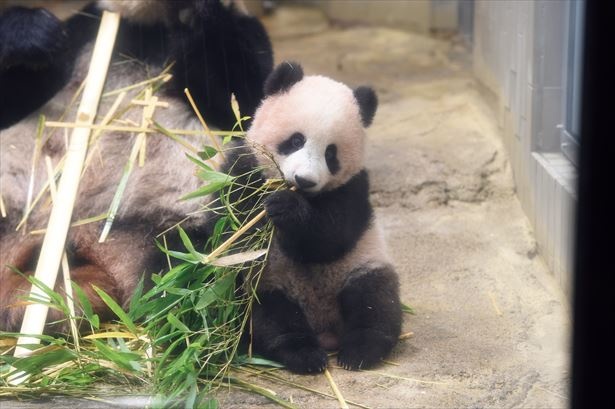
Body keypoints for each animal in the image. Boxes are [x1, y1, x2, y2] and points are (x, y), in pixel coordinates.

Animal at [0, 0, 274, 330]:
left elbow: (244, 98)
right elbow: (16, 98)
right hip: (12, 209)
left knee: (194, 269)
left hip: (167, 227)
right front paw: (30, 34)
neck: (150, 23)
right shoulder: (83, 32)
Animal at [221, 62, 404, 372]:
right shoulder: (243, 169)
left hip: (361, 266)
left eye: (331, 154)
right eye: (296, 140)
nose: (304, 180)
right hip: (268, 284)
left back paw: (360, 351)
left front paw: (287, 209)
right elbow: (236, 227)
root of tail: (324, 328)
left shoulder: (354, 188)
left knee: (375, 300)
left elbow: (329, 239)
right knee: (270, 317)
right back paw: (303, 354)